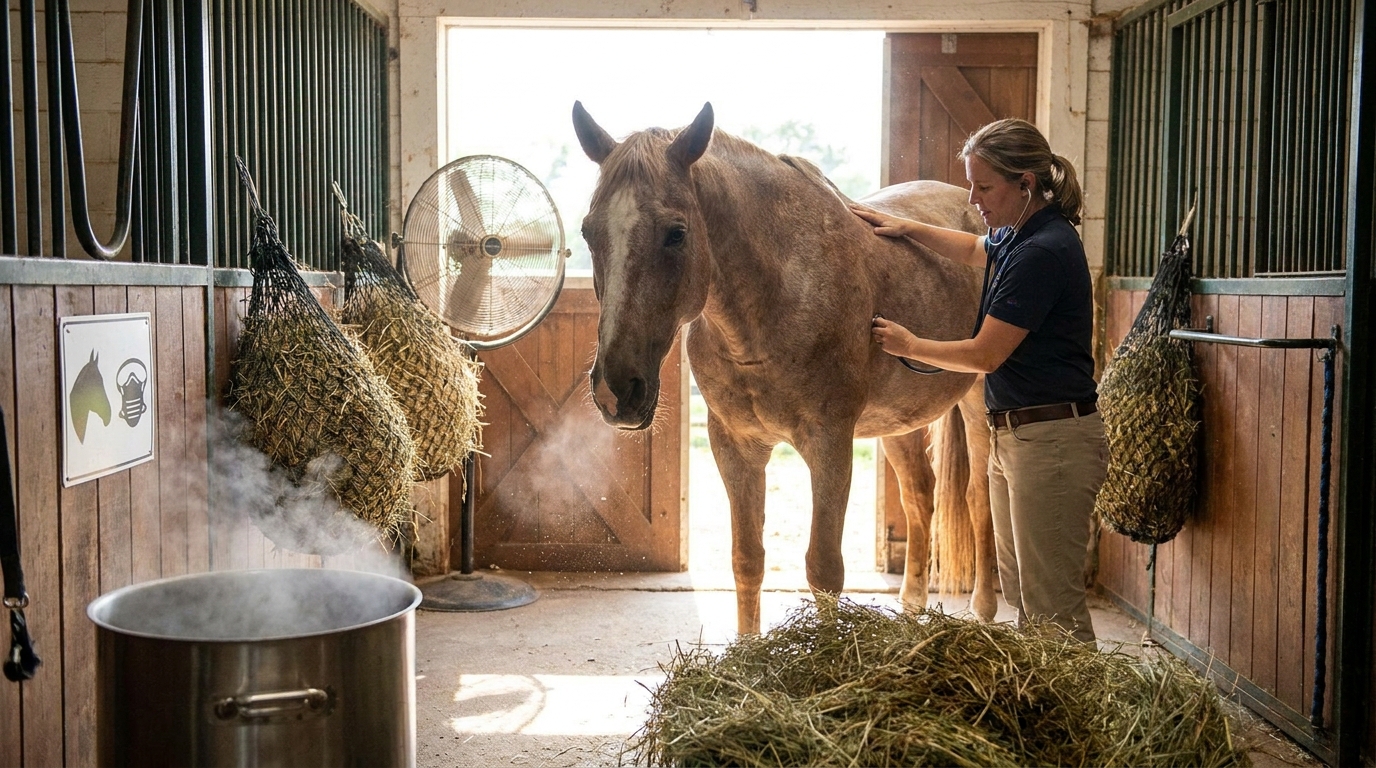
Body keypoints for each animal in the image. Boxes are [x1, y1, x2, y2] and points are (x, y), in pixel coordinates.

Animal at [572, 101, 997, 633]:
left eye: (676, 233)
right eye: (588, 231)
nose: (616, 389)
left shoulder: (829, 444)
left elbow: (824, 568)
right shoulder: (736, 446)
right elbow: (747, 559)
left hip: (978, 404)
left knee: (981, 501)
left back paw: (985, 612)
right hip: (897, 421)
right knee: (921, 495)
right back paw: (912, 606)